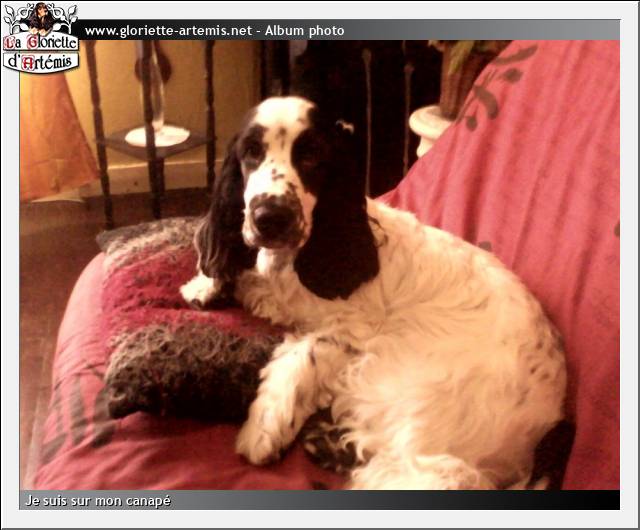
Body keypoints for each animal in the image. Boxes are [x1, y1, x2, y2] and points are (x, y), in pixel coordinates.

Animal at [181, 96, 567, 489]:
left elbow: (302, 356)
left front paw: (261, 429)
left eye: (311, 156)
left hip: (410, 410)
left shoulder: (351, 331)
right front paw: (205, 284)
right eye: (251, 152)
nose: (270, 217)